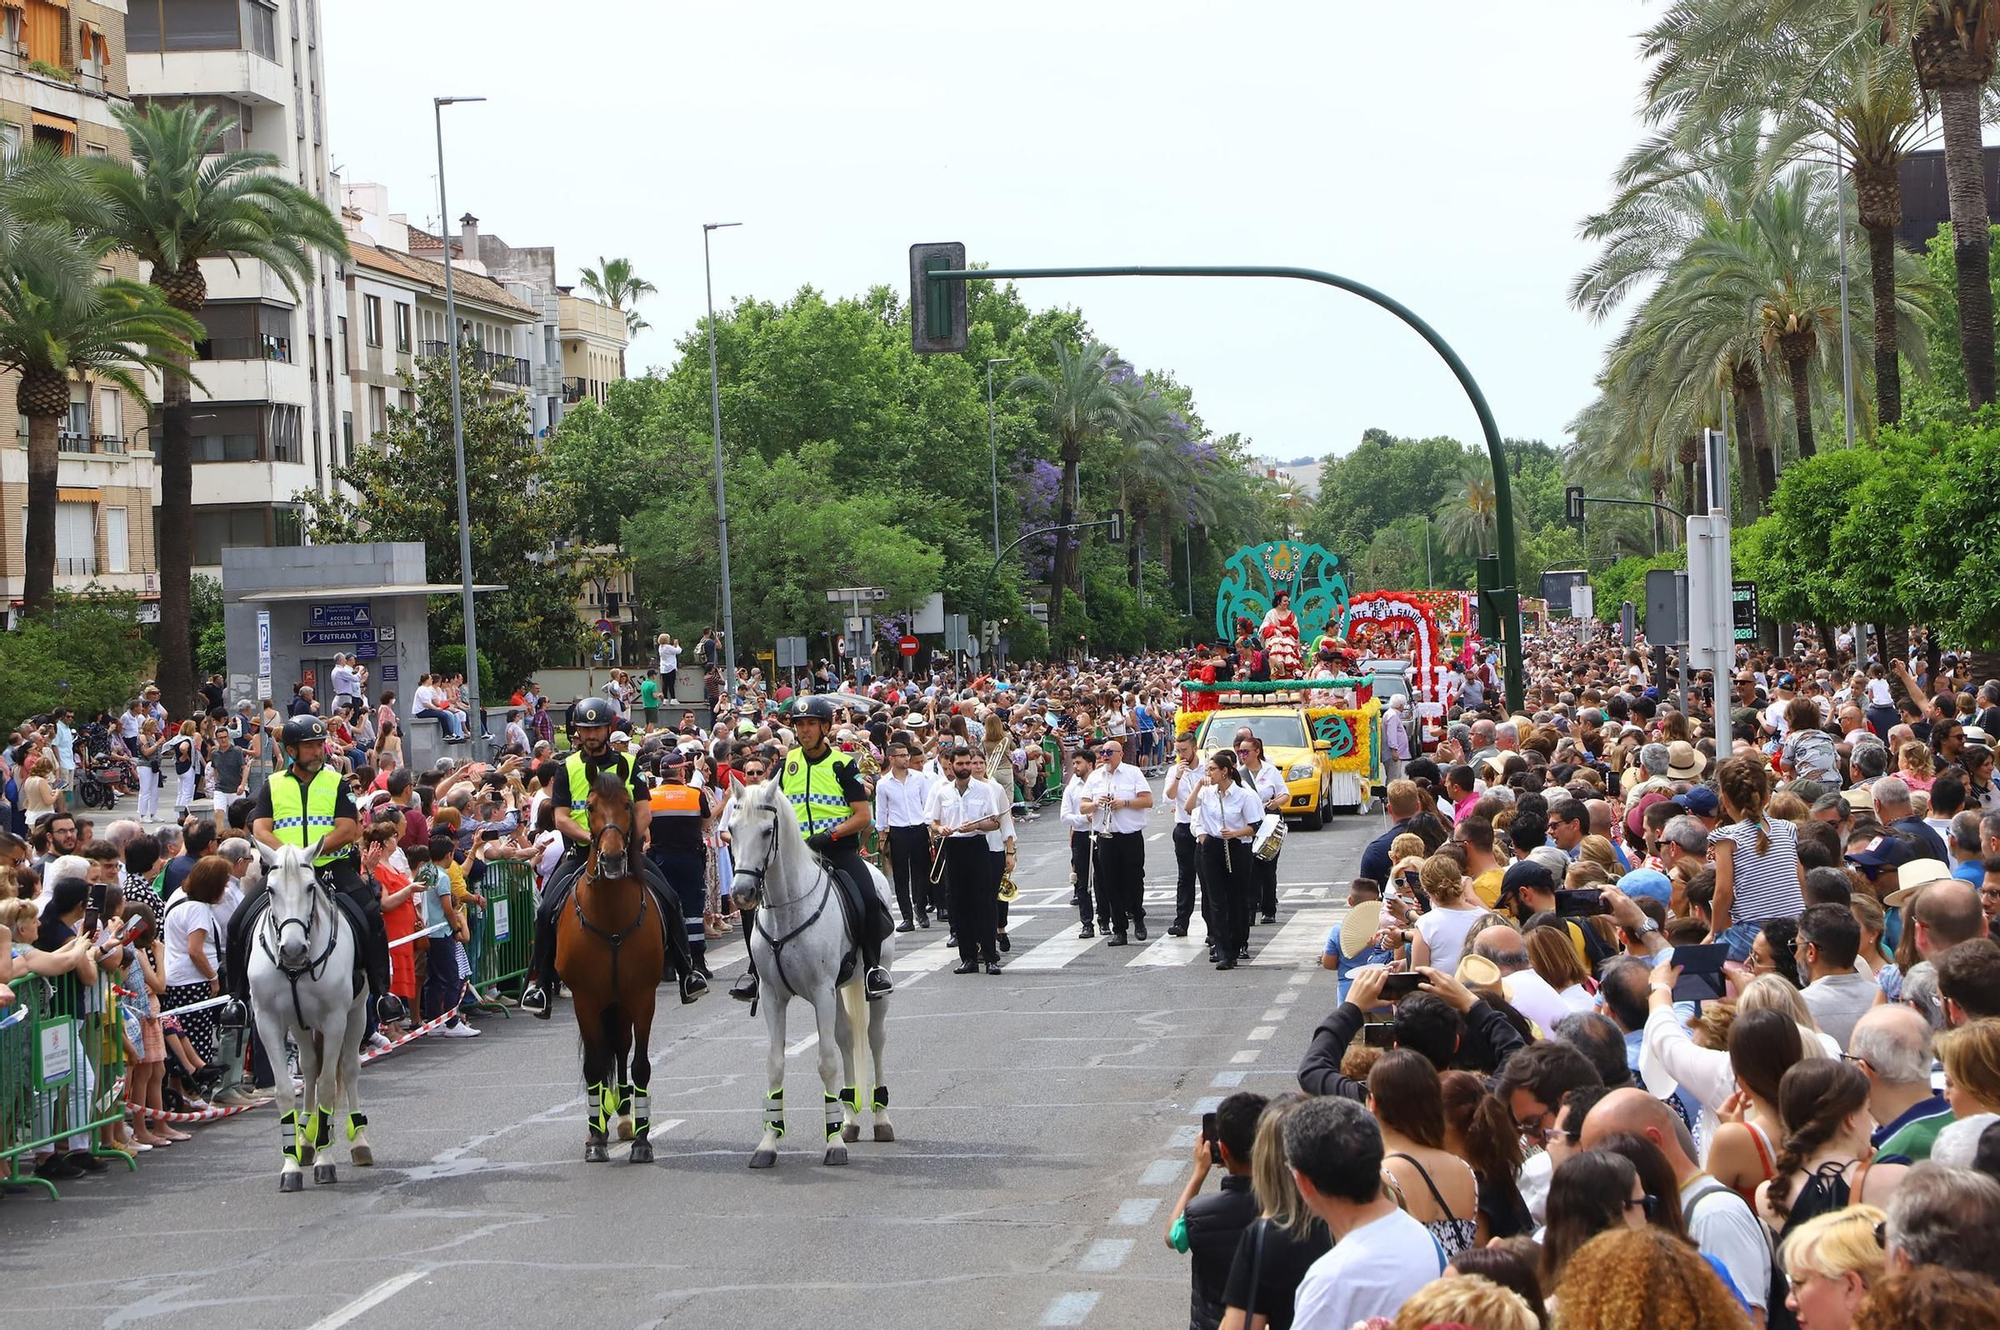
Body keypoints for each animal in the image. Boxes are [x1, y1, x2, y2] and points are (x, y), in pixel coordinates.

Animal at [247, 840, 372, 1192]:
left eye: (310, 887)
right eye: (271, 890)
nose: (292, 949)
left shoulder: (334, 1021)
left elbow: (329, 1086)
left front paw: (325, 1162)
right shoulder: (268, 1022)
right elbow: (285, 1090)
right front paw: (290, 1165)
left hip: (357, 1014)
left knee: (349, 1069)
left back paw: (359, 1142)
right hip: (299, 1025)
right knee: (310, 1066)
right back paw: (305, 1140)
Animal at [556, 768, 664, 1160]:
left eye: (628, 804)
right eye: (589, 806)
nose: (614, 860)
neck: (612, 917)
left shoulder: (642, 996)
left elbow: (640, 1065)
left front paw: (643, 1141)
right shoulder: (585, 999)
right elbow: (593, 1067)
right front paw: (595, 1139)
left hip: (620, 1003)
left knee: (619, 1047)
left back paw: (624, 1119)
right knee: (607, 1053)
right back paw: (602, 1126)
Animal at [732, 780, 896, 1160]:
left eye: (767, 831)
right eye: (730, 829)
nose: (742, 893)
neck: (786, 910)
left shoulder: (820, 991)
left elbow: (826, 1061)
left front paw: (833, 1142)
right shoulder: (773, 996)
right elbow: (775, 1064)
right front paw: (768, 1142)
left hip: (874, 985)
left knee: (875, 1038)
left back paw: (880, 1119)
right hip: (837, 989)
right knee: (847, 1037)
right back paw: (850, 1120)